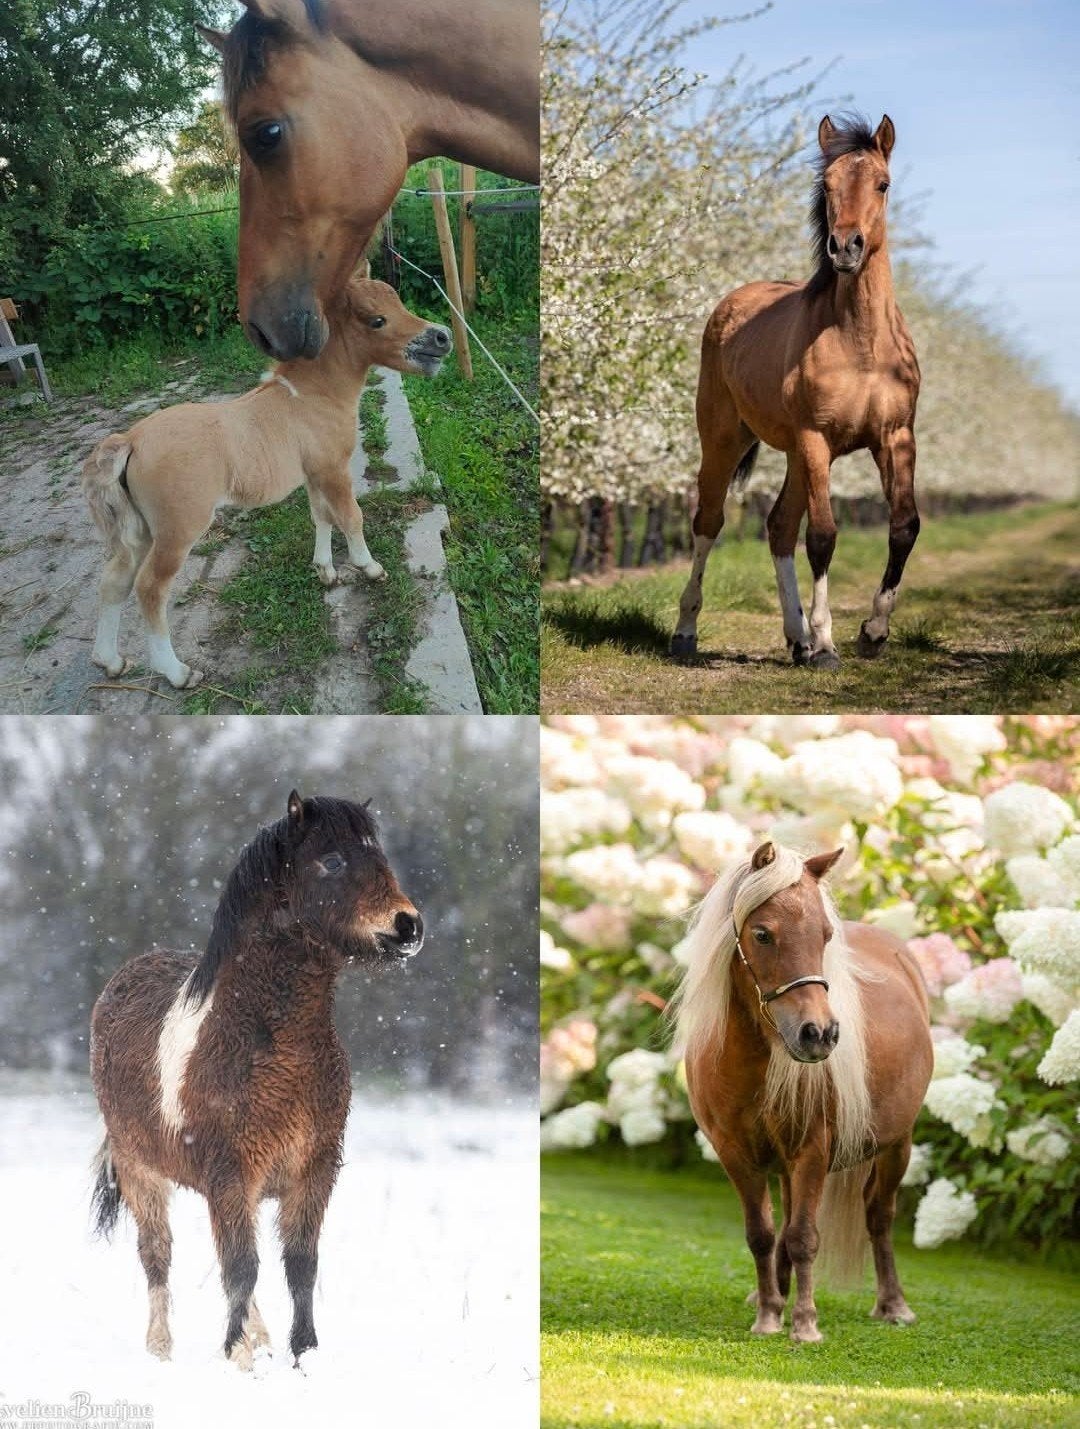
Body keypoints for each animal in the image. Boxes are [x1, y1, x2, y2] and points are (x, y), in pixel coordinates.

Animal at [82, 277, 449, 690]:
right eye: (377, 320)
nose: (442, 337)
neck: (314, 396)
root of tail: (131, 440)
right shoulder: (334, 471)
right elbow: (351, 518)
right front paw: (369, 568)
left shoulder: (314, 475)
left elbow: (322, 517)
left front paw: (326, 572)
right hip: (178, 530)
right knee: (149, 589)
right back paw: (177, 673)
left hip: (140, 531)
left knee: (115, 580)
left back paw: (111, 662)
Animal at [90, 790, 425, 1370]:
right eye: (332, 861)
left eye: (377, 855)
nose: (408, 926)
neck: (275, 1048)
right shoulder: (231, 1174)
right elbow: (241, 1268)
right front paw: (237, 1360)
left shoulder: (313, 1171)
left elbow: (299, 1265)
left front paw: (302, 1355)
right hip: (141, 1171)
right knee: (158, 1256)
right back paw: (161, 1348)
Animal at [671, 113, 922, 671]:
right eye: (826, 185)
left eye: (883, 183)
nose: (846, 247)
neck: (861, 344)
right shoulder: (816, 439)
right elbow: (823, 536)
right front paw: (828, 645)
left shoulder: (895, 437)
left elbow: (904, 526)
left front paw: (873, 633)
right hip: (727, 440)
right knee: (709, 520)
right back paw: (686, 633)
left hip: (791, 455)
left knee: (778, 526)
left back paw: (796, 639)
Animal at [672, 840, 932, 1343]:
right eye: (762, 934)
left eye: (826, 935)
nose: (820, 1034)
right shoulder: (736, 1155)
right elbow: (762, 1235)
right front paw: (769, 1311)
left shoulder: (813, 1150)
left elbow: (804, 1237)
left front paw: (805, 1322)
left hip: (897, 1146)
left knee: (879, 1216)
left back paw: (893, 1305)